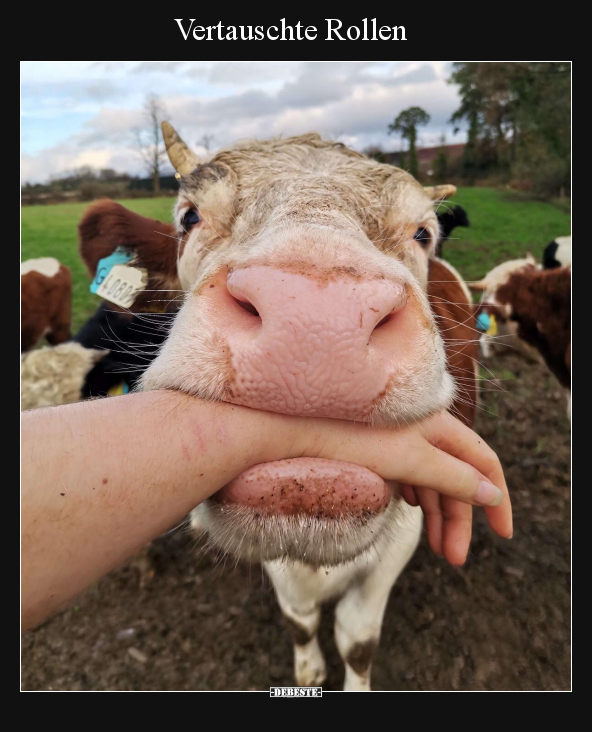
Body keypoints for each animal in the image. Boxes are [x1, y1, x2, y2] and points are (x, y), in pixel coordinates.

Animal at [82, 127, 480, 692]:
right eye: (189, 217)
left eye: (421, 233)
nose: (316, 322)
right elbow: (300, 620)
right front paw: (308, 668)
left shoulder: (400, 540)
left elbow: (357, 640)